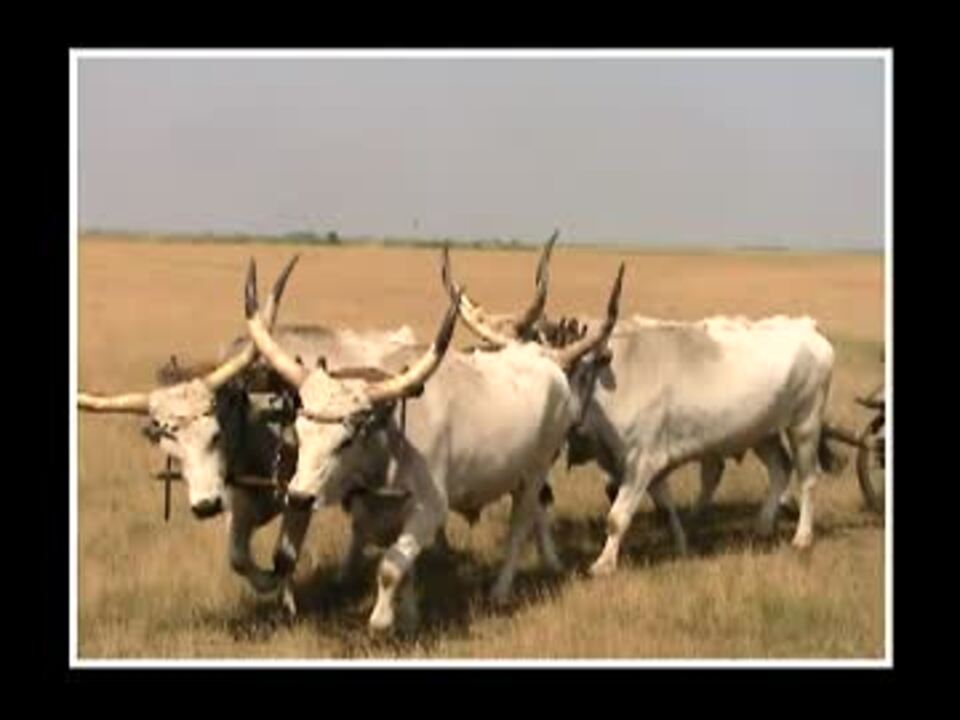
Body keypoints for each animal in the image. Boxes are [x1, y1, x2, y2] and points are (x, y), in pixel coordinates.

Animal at [245, 252, 624, 633]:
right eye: (300, 430)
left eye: (346, 440)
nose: (299, 497)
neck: (391, 438)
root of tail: (546, 360)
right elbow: (405, 567)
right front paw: (409, 616)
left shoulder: (430, 507)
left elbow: (389, 567)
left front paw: (382, 620)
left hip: (534, 473)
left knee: (520, 527)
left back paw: (501, 590)